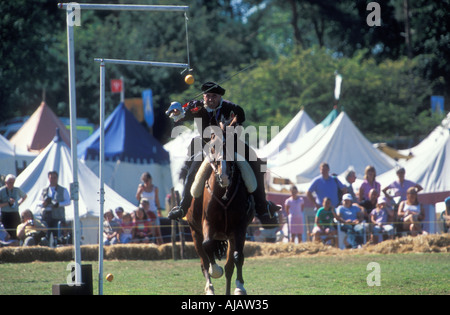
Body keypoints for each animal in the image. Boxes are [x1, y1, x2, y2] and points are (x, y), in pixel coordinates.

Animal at [185, 124, 255, 296]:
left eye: (233, 145)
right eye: (212, 147)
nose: (223, 176)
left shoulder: (239, 228)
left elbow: (238, 257)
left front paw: (240, 287)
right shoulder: (207, 223)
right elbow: (208, 245)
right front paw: (215, 270)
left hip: (230, 236)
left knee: (230, 266)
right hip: (195, 232)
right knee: (203, 261)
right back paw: (209, 287)